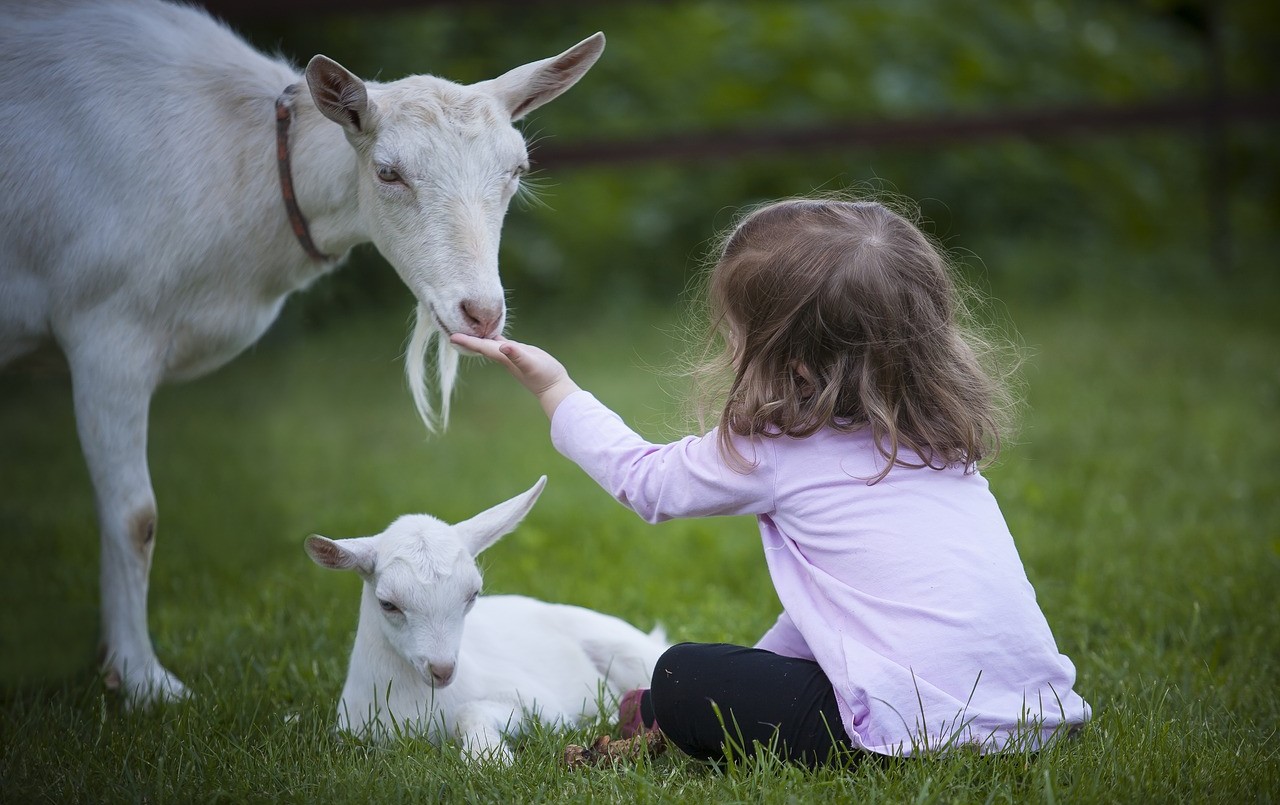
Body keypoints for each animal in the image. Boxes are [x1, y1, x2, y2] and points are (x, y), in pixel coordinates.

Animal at [0, 0, 604, 704]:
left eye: (517, 171)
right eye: (387, 172)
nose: (481, 313)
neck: (243, 166)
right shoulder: (106, 327)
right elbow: (134, 516)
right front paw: (144, 680)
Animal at [304, 477, 666, 763]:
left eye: (472, 595)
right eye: (388, 604)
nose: (442, 670)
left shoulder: (542, 704)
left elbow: (472, 710)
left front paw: (487, 758)